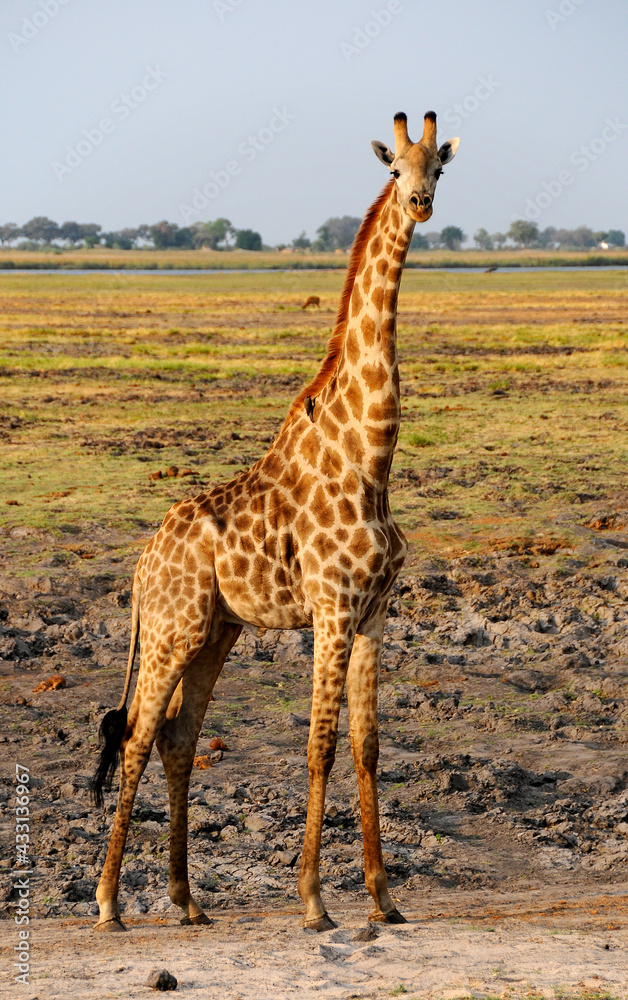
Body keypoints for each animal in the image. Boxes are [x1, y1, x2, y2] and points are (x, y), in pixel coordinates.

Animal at [91, 110, 460, 933]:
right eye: (395, 169)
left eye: (441, 167)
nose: (420, 203)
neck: (371, 458)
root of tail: (140, 563)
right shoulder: (331, 607)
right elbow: (319, 745)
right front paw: (314, 900)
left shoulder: (375, 612)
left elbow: (367, 747)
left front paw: (385, 899)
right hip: (170, 632)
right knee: (135, 738)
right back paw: (107, 904)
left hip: (214, 633)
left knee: (178, 739)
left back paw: (187, 901)